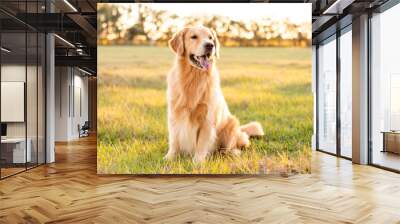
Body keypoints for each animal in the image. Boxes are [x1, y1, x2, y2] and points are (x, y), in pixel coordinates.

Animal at [164, 25, 264, 163]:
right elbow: (174, 139)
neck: (193, 78)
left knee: (233, 146)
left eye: (210, 38)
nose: (210, 45)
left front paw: (198, 161)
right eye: (193, 37)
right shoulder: (174, 114)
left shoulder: (207, 118)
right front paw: (170, 157)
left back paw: (233, 152)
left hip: (231, 124)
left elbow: (201, 142)